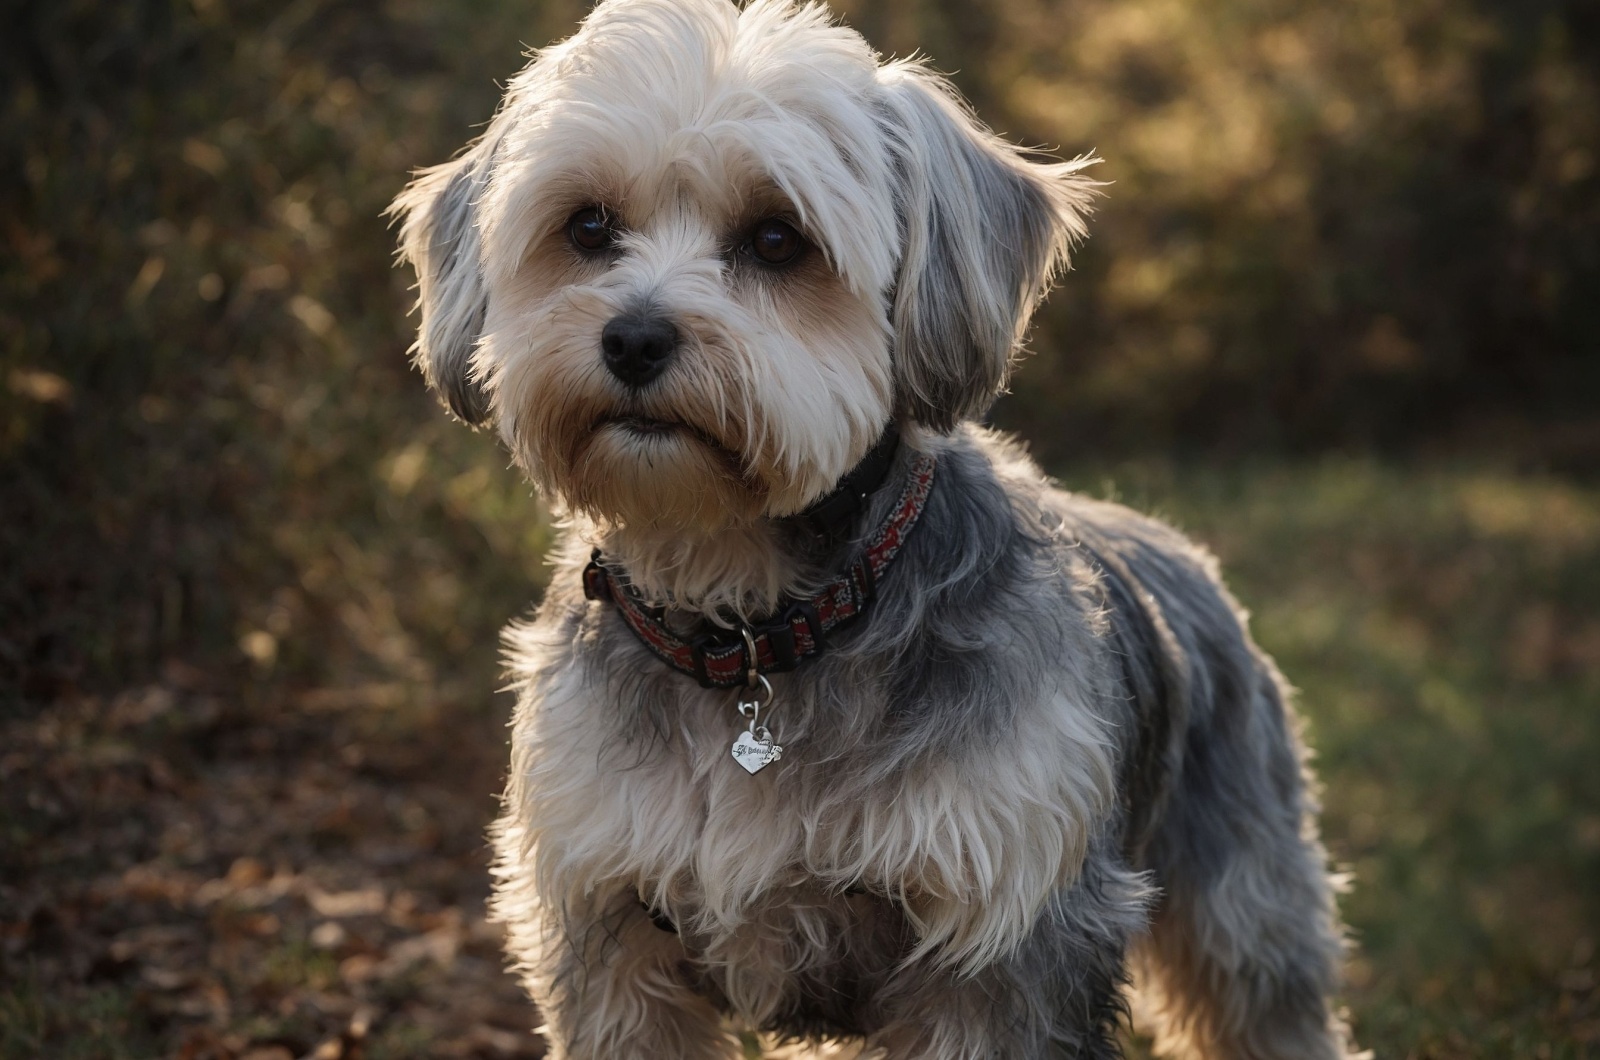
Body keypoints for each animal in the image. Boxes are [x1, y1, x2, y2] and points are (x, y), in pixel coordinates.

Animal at [393, 2, 1369, 1060]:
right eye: (588, 226)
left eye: (778, 238)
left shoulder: (1004, 953)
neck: (753, 629)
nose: (634, 339)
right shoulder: (608, 931)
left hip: (1246, 918)